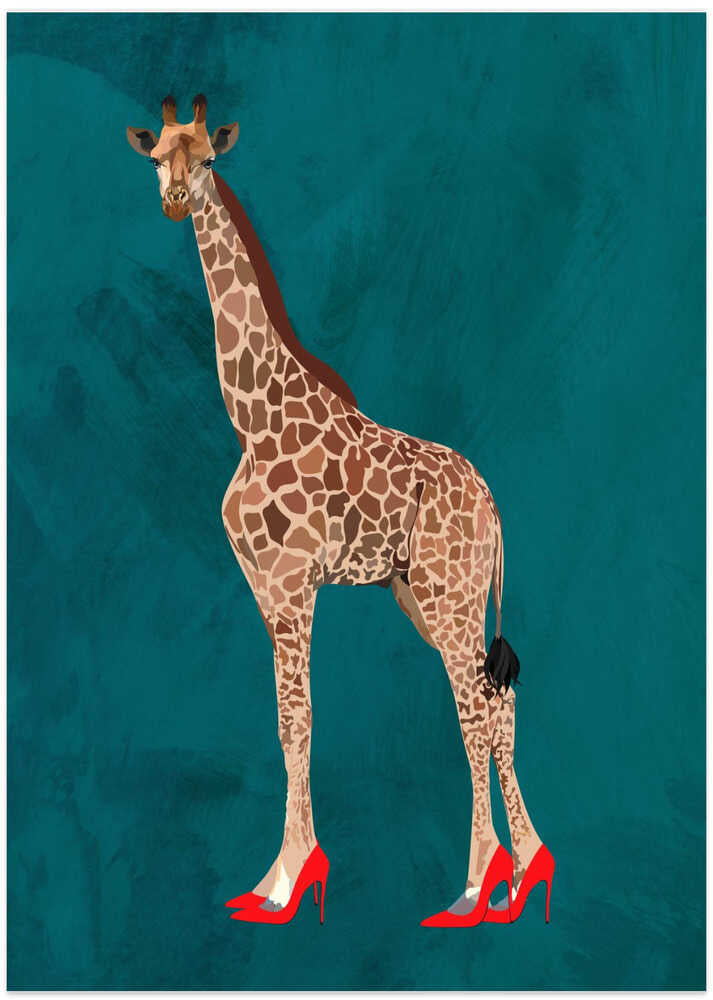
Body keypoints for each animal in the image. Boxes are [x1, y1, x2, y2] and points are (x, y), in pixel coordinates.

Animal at [126, 94, 551, 925]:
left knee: (474, 712)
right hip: (421, 596)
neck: (251, 418)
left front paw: (289, 880)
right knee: (497, 703)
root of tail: (490, 501)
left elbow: (300, 719)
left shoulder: (295, 583)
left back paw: (477, 884)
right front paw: (272, 876)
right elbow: (285, 721)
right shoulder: (263, 588)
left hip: (451, 598)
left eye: (210, 158)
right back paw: (520, 874)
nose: (175, 200)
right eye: (157, 157)